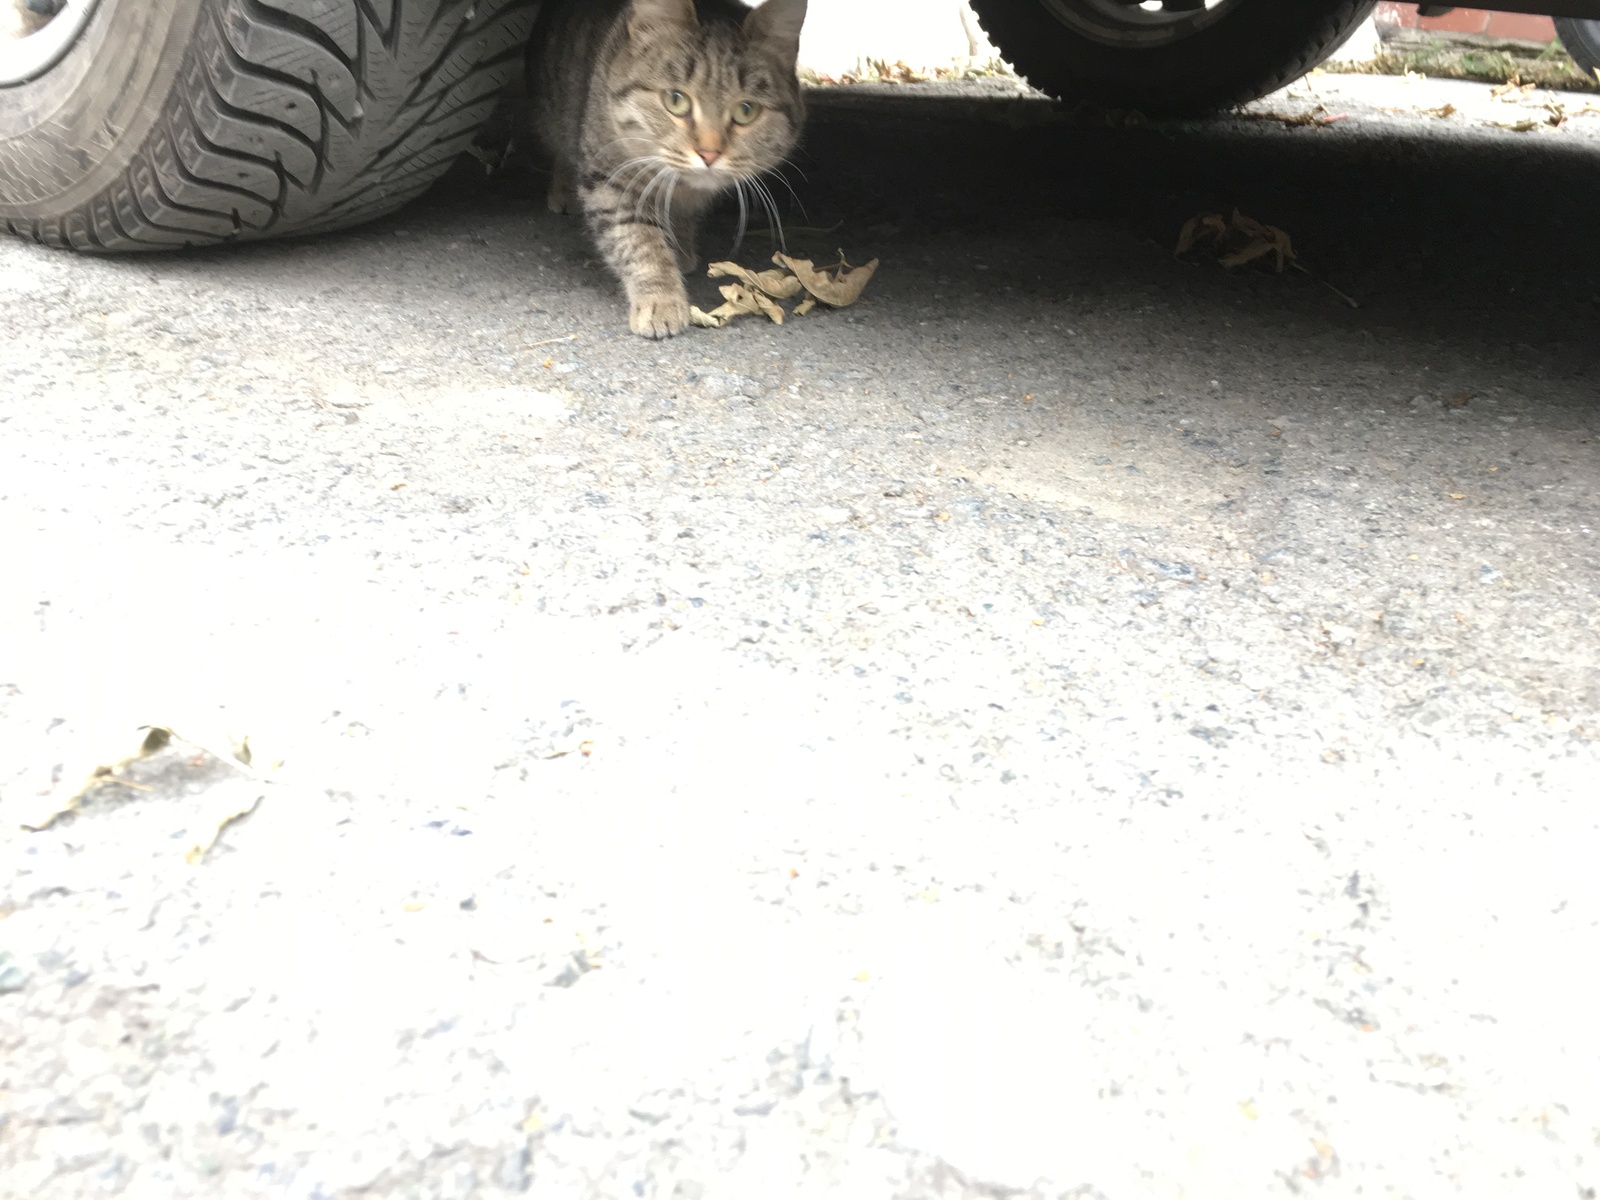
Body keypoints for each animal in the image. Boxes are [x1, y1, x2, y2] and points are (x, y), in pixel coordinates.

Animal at [531, 1, 812, 339]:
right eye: (676, 100)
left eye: (747, 110)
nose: (709, 153)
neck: (679, 185)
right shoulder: (612, 182)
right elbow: (640, 243)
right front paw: (660, 299)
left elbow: (682, 218)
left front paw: (680, 246)